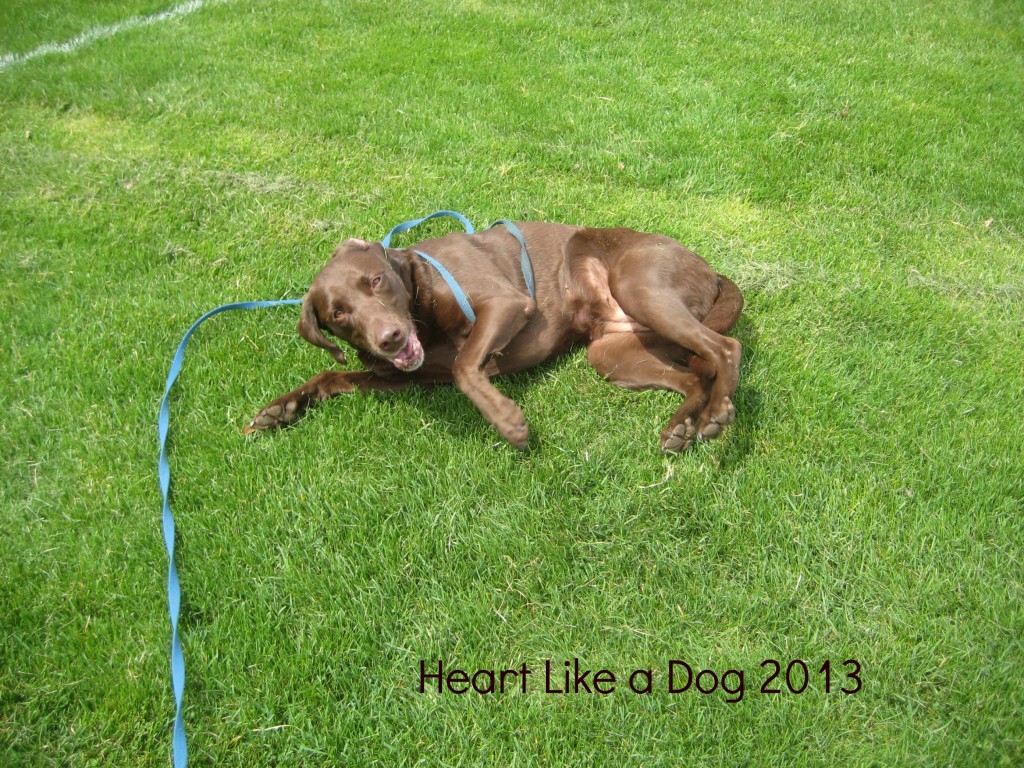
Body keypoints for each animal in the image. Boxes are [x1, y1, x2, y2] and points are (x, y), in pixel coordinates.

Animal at [247, 221, 745, 450]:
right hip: (613, 353)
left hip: (638, 286)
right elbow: (330, 378)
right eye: (338, 313)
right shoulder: (403, 376)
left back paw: (717, 414)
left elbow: (466, 365)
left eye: (375, 281)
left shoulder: (506, 304)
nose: (389, 338)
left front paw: (506, 420)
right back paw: (682, 427)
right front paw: (280, 410)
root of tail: (710, 270)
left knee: (726, 348)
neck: (419, 292)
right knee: (693, 375)